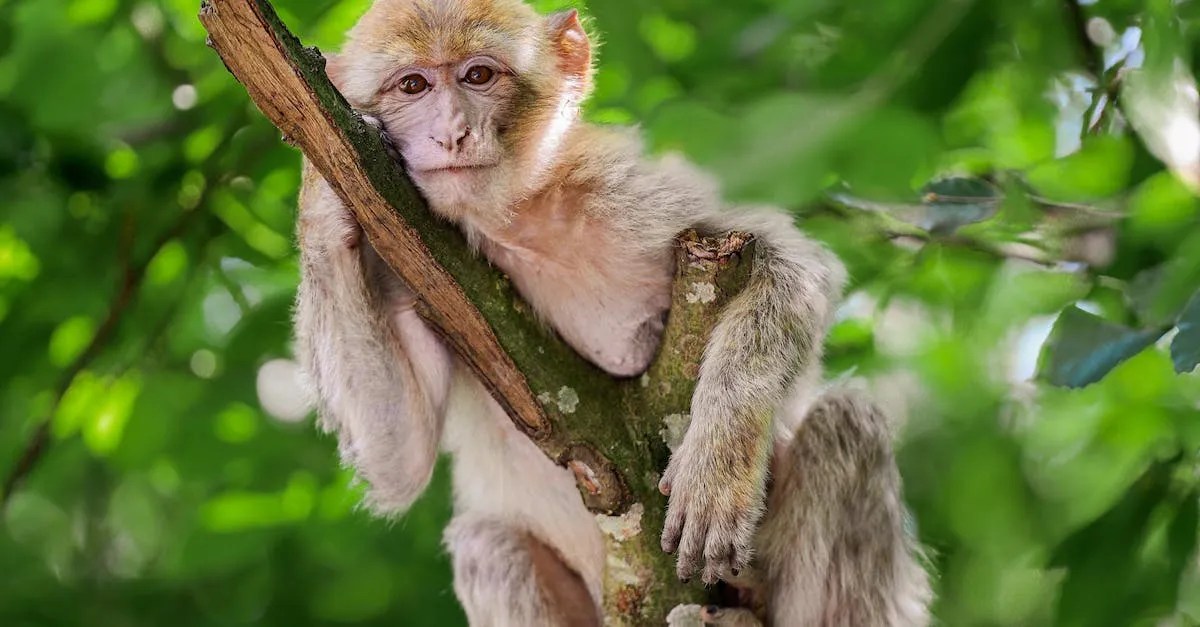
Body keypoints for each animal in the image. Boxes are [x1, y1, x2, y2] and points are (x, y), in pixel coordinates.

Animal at [292, 0, 932, 625]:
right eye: (413, 85)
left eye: (478, 76)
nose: (452, 133)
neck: (510, 218)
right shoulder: (400, 256)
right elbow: (397, 458)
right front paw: (322, 183)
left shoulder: (627, 189)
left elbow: (795, 261)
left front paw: (716, 466)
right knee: (485, 544)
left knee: (847, 423)